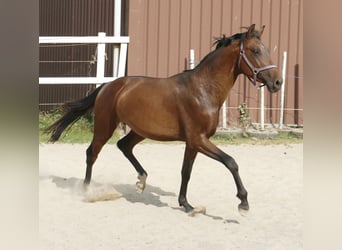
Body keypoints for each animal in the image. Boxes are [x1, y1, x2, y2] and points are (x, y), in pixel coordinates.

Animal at [46, 23, 284, 215]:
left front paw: (186, 205)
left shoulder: (193, 142)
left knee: (124, 146)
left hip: (140, 130)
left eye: (265, 50)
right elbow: (231, 162)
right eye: (255, 50)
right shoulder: (198, 139)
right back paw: (87, 190)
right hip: (105, 126)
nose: (277, 82)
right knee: (92, 153)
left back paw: (141, 180)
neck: (203, 90)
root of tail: (108, 85)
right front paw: (243, 203)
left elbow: (186, 172)